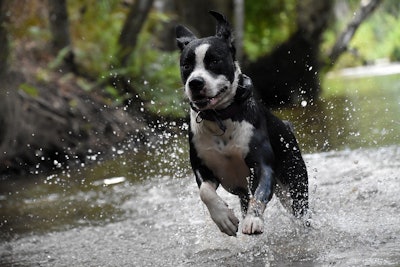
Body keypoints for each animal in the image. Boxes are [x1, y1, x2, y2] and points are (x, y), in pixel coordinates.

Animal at [175, 11, 310, 237]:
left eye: (214, 61)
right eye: (186, 65)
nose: (195, 82)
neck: (221, 118)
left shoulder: (262, 166)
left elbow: (260, 194)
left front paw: (253, 219)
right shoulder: (203, 168)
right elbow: (205, 192)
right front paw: (224, 218)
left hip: (295, 183)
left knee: (300, 211)